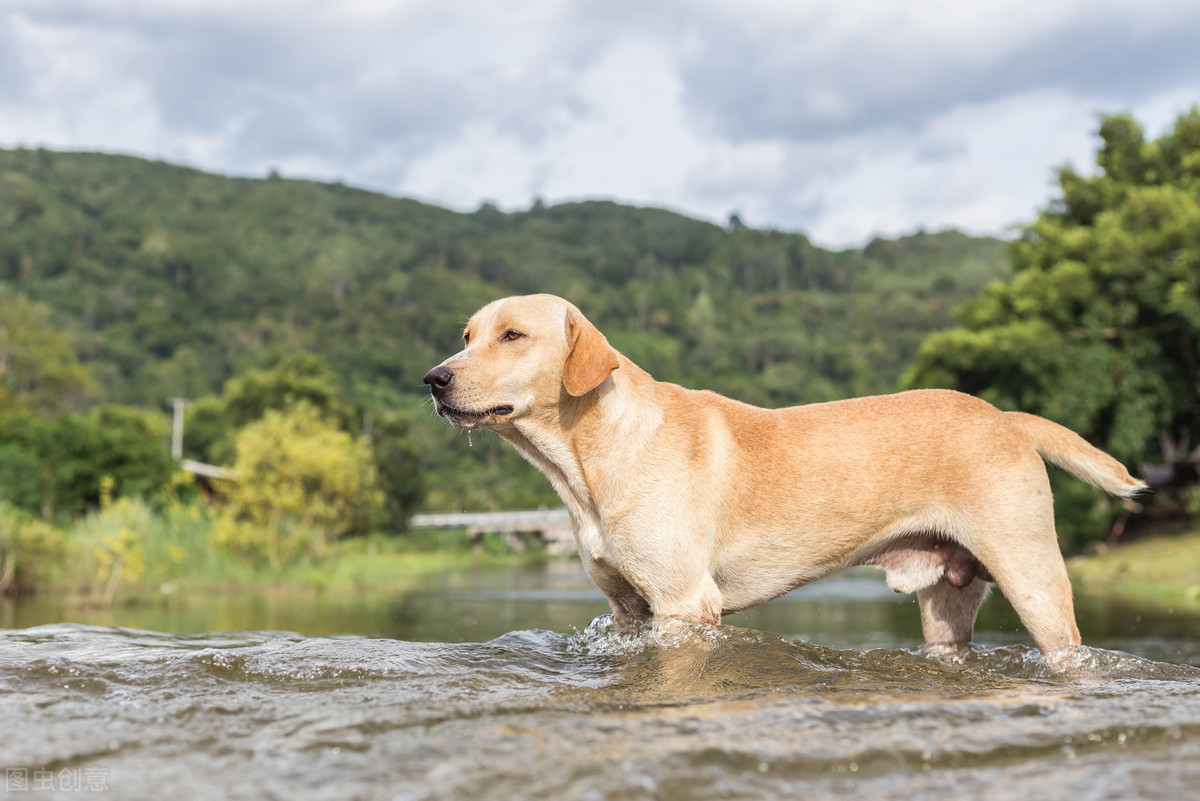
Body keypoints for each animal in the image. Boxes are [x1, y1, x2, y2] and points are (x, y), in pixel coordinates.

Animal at [422, 292, 1142, 657]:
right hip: (947, 601)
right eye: (467, 335)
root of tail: (1006, 416)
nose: (433, 378)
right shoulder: (627, 610)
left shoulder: (683, 605)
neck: (588, 455)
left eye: (513, 336)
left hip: (1033, 577)